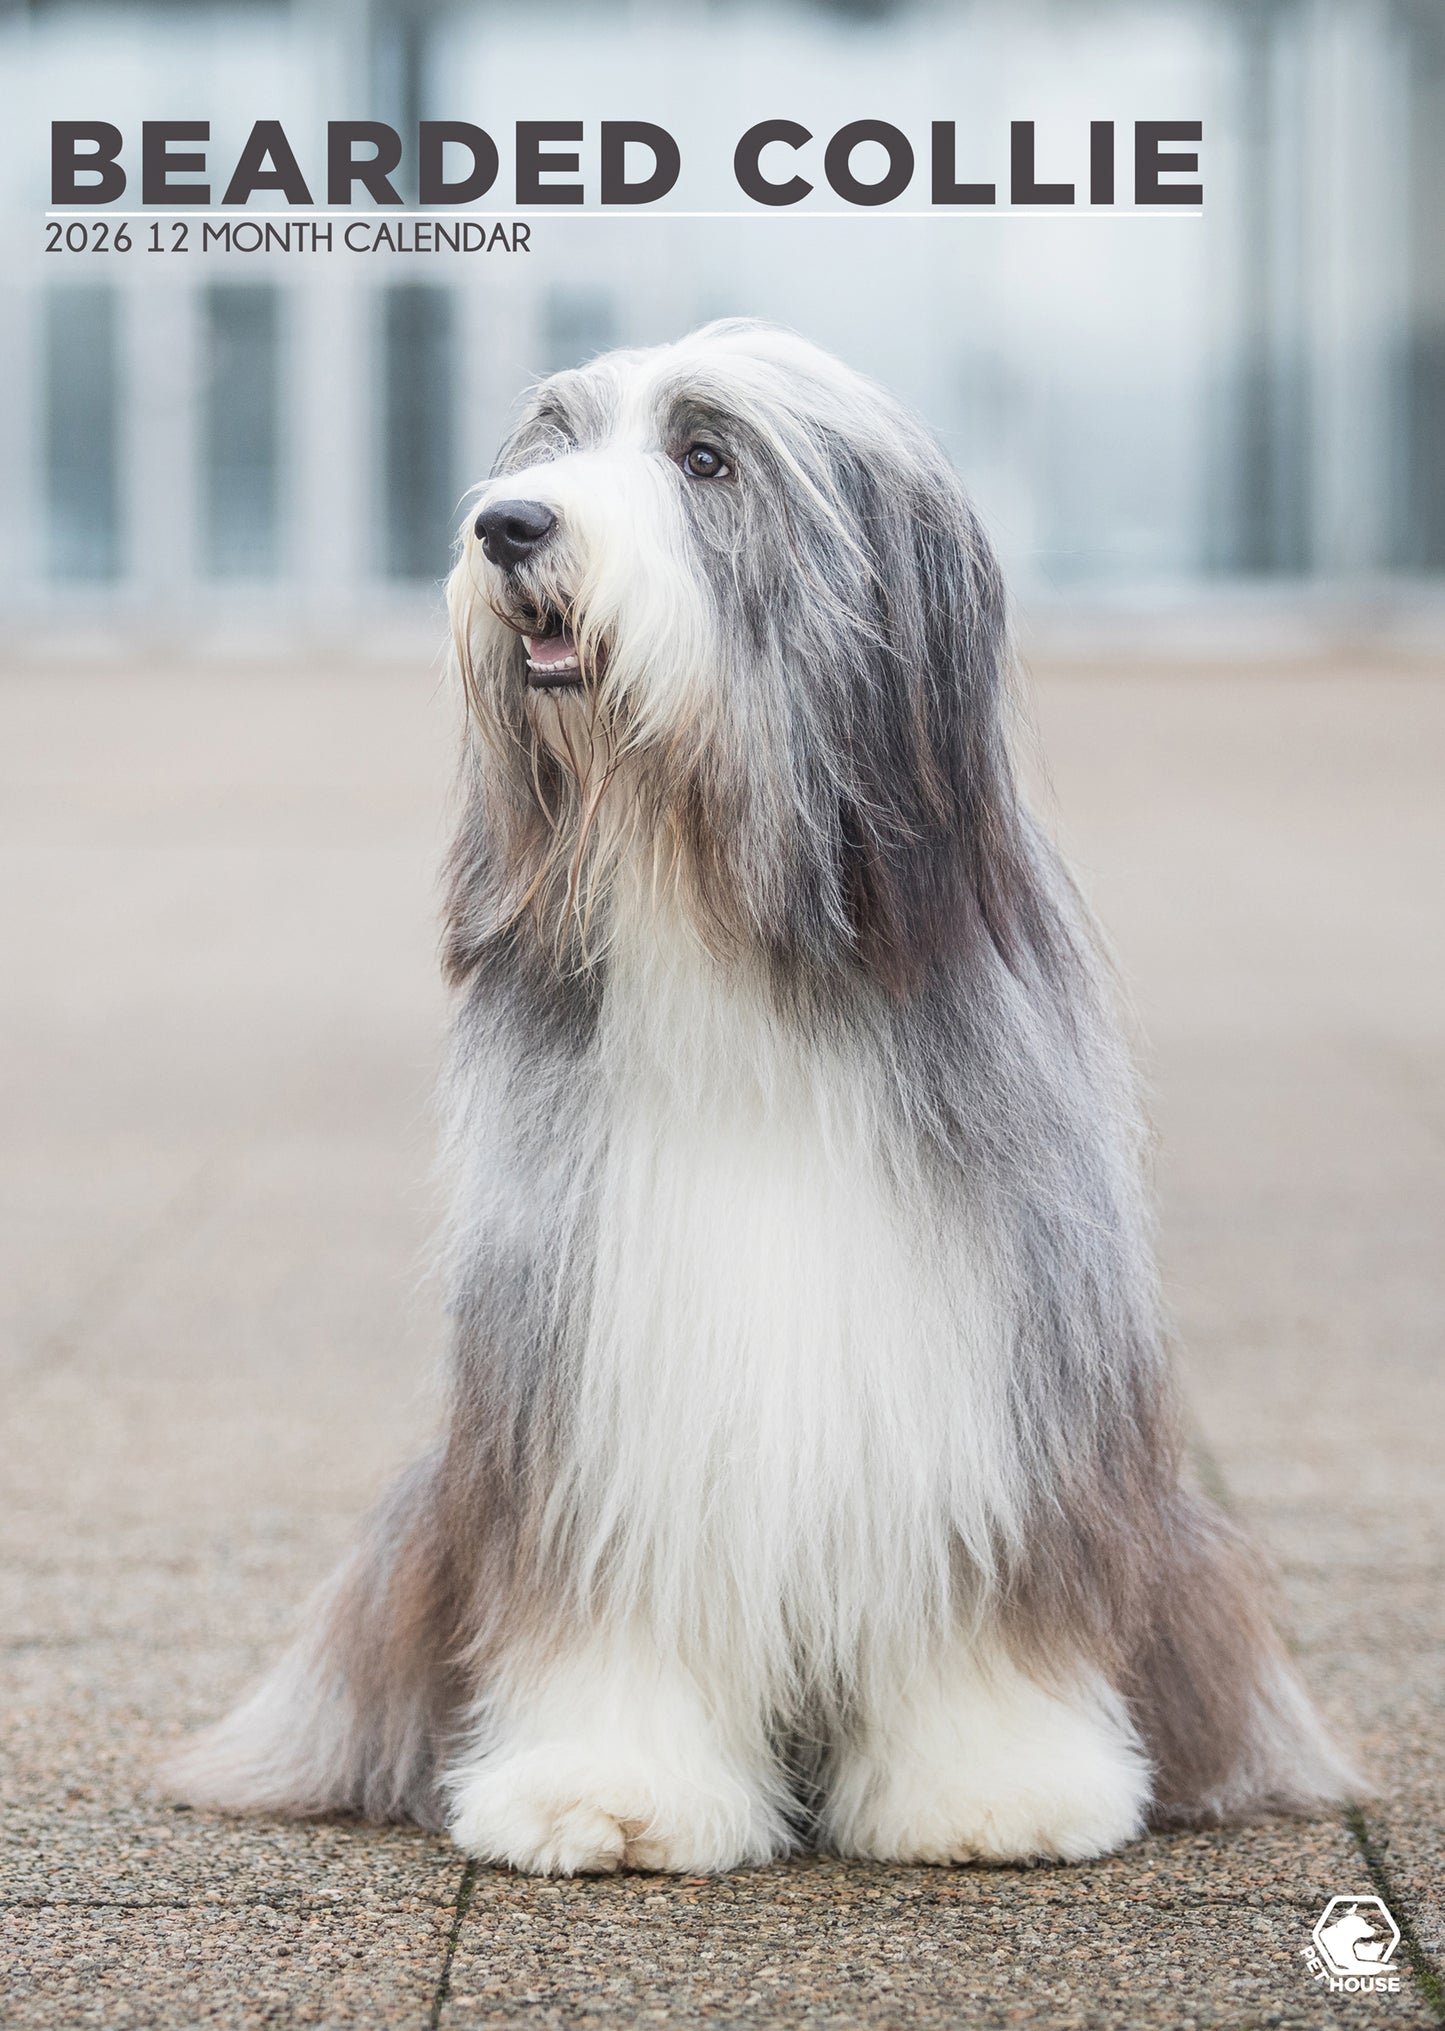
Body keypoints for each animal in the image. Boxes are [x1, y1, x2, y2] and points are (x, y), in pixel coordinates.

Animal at [169, 316, 1357, 1868]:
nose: (507, 525)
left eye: (704, 459)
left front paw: (996, 1788)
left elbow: (980, 1605)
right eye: (548, 443)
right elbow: (608, 1607)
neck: (728, 942)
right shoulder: (596, 1384)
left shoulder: (979, 1376)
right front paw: (604, 1790)